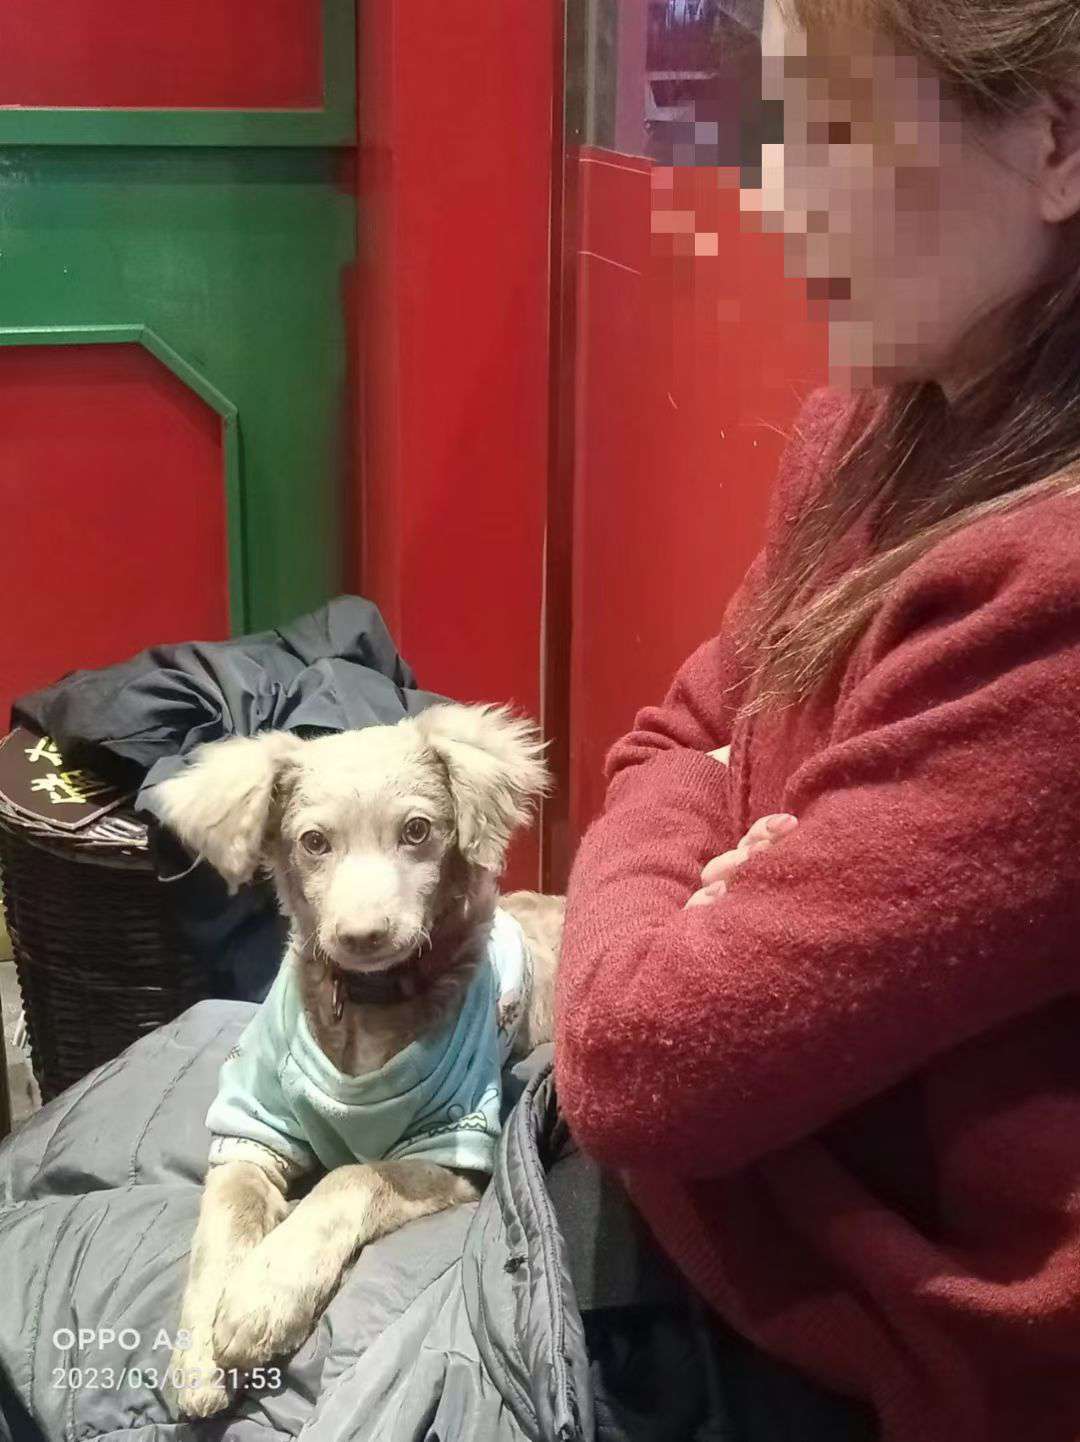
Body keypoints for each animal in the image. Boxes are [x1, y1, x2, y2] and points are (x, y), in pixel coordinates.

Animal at [155, 702, 563, 1418]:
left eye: (418, 831)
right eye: (314, 842)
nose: (363, 936)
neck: (369, 1005)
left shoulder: (450, 1150)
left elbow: (352, 1178)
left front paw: (263, 1299)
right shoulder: (250, 1132)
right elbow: (222, 1224)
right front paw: (200, 1353)